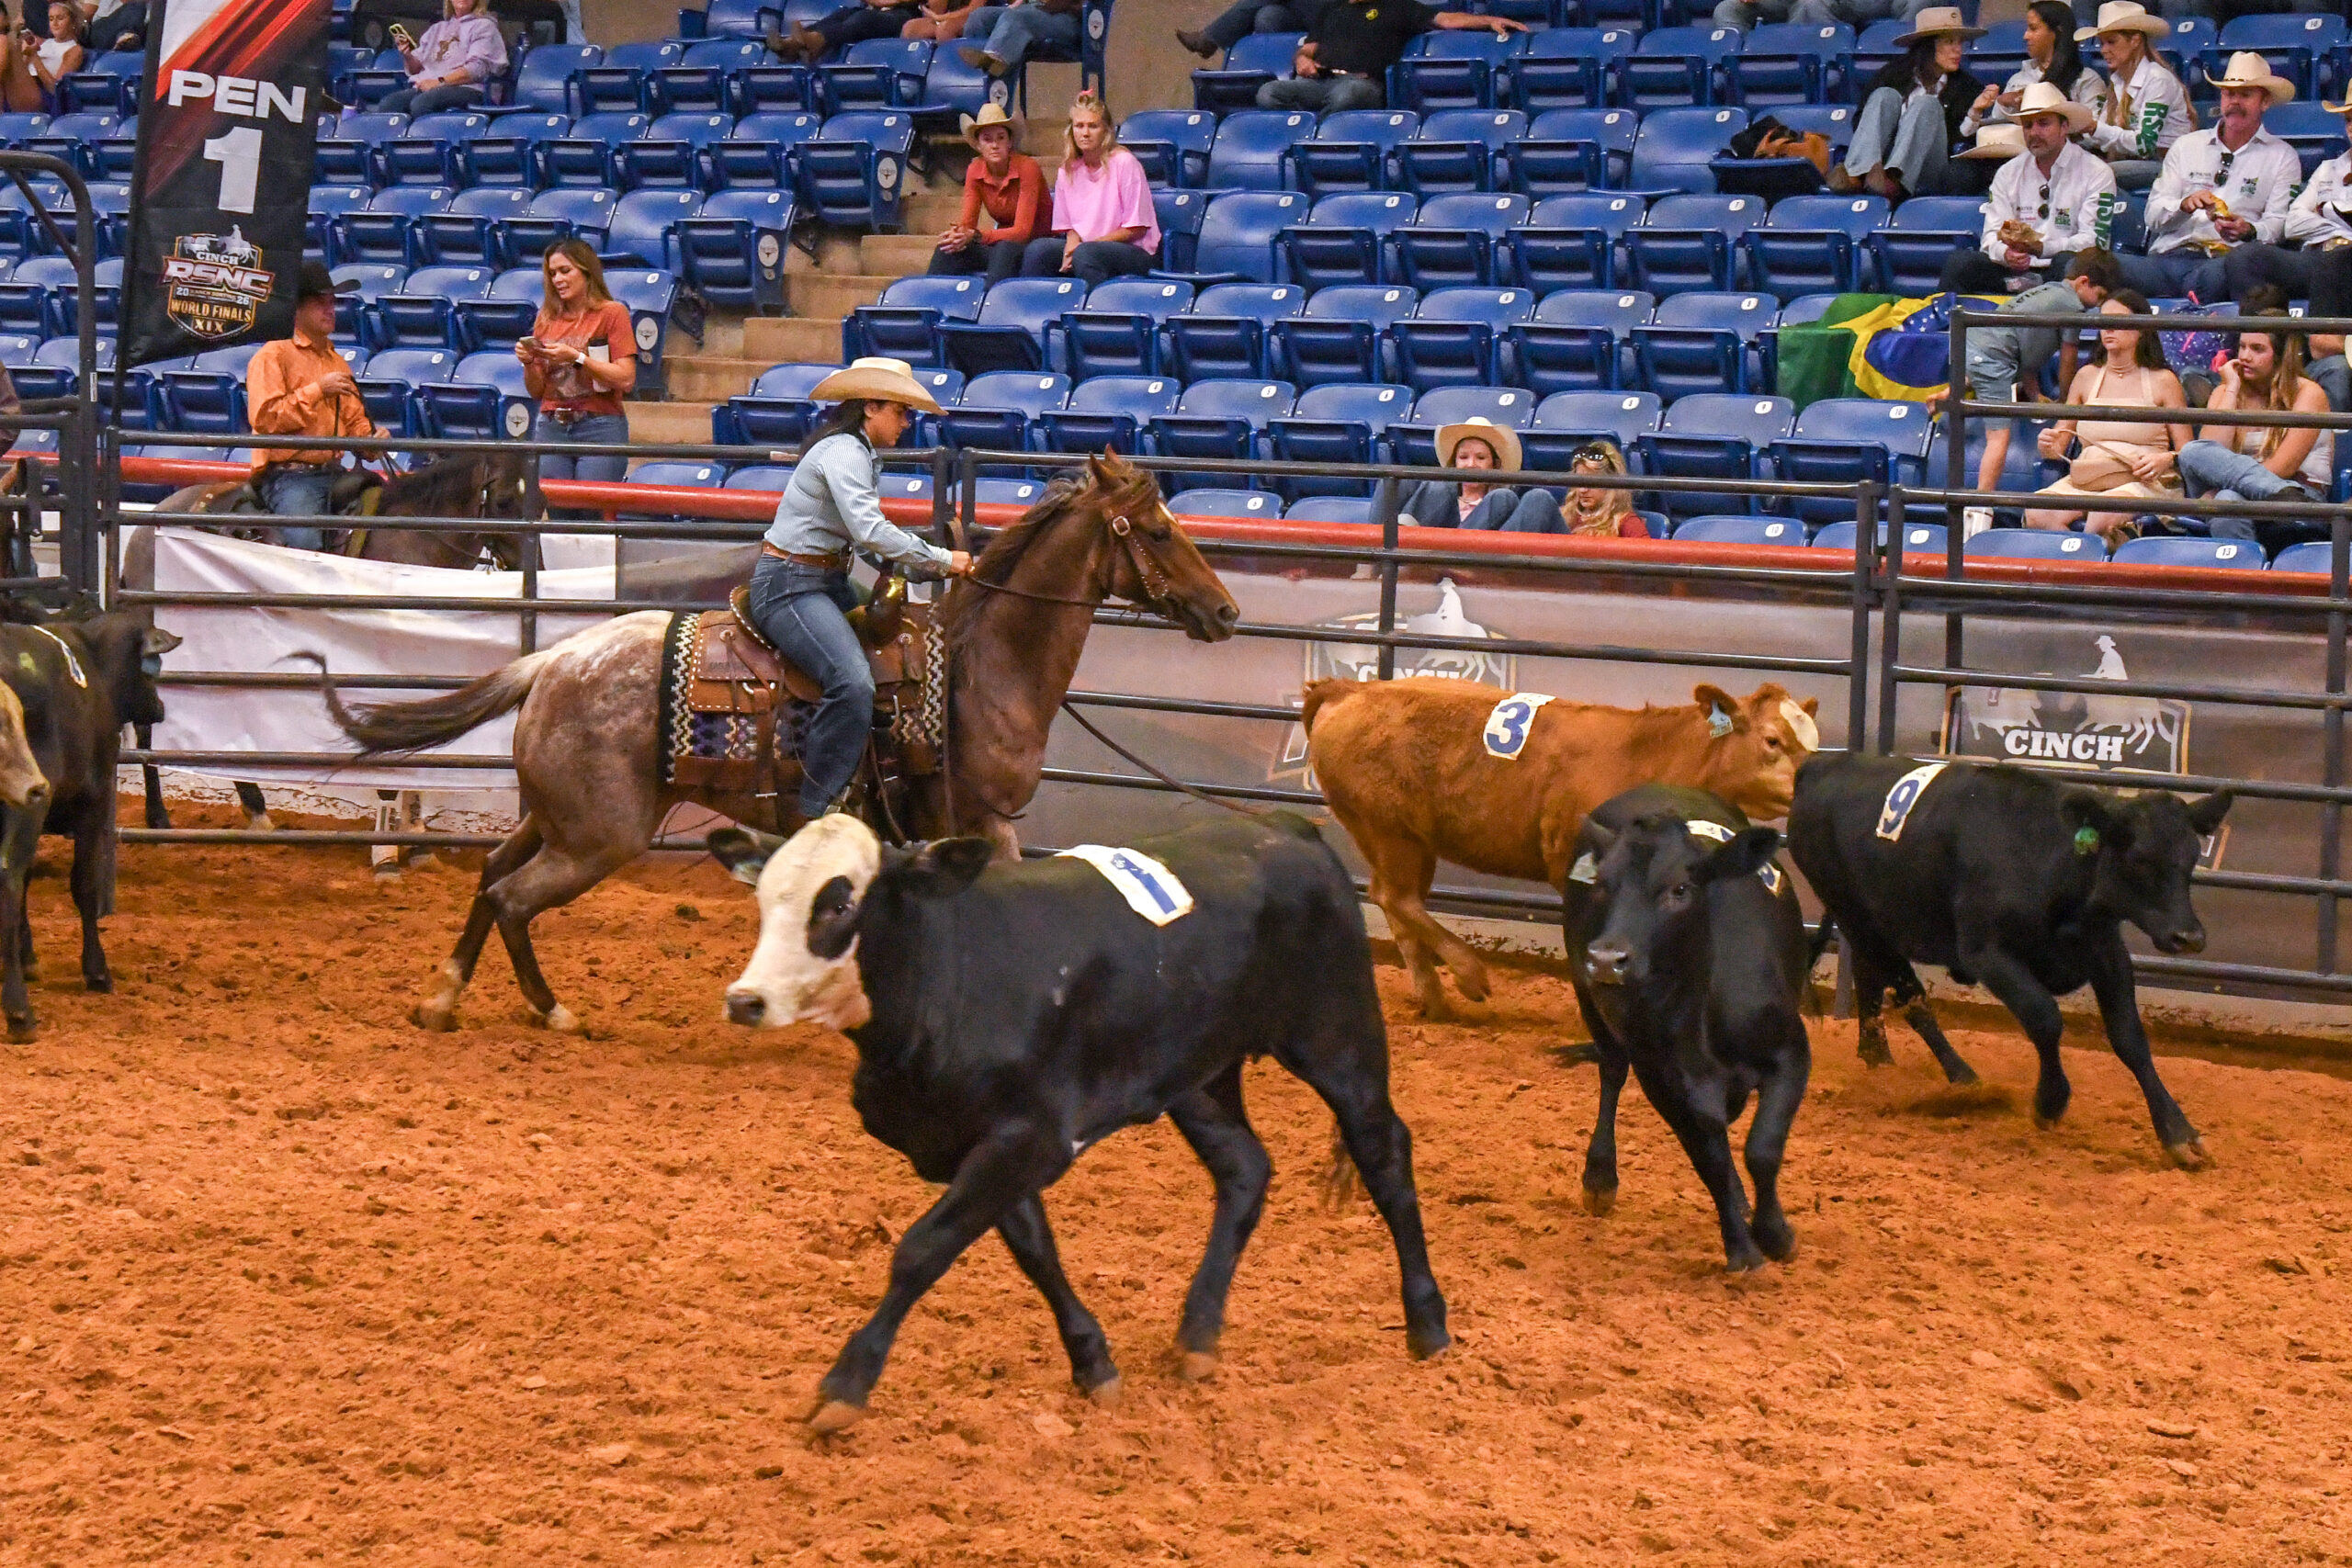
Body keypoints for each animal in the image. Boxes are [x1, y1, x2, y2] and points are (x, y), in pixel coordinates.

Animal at [0, 612, 181, 1040]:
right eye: (150, 668)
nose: (160, 707)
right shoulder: (90, 804)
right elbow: (83, 885)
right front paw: (96, 970)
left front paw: (29, 957)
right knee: (8, 879)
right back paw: (19, 1012)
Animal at [710, 811, 1451, 1433]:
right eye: (764, 899)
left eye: (839, 903)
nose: (747, 1000)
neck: (946, 976)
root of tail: (1287, 827)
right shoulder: (985, 1142)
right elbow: (1036, 1252)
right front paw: (1094, 1363)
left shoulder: (1028, 1136)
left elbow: (921, 1251)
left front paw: (845, 1385)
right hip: (1198, 1076)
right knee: (1246, 1167)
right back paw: (1198, 1335)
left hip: (1338, 1036)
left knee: (1384, 1152)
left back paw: (1428, 1324)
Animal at [1303, 677, 1821, 1022]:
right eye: (1773, 740)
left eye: (1813, 744)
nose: (1813, 784)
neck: (1652, 757)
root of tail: (1347, 690)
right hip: (1389, 830)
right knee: (1395, 897)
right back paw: (1469, 975)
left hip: (1398, 836)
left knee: (1393, 899)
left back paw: (1435, 998)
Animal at [1563, 785, 1811, 1272]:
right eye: (1602, 884)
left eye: (1680, 889)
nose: (1606, 959)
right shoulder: (1663, 1083)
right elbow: (1708, 1160)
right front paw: (1742, 1249)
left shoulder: (1791, 1053)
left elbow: (1762, 1148)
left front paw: (1775, 1235)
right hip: (1592, 1006)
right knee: (1611, 1073)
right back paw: (1600, 1178)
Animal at [1787, 754, 2232, 1169]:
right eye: (2139, 858)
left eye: (2192, 857)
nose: (2189, 937)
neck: (2048, 862)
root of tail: (1820, 764)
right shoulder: (1988, 955)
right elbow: (2045, 1019)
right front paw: (2050, 1101)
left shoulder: (2108, 954)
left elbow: (2130, 1039)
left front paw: (2178, 1132)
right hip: (1856, 914)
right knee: (1913, 999)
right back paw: (1962, 1078)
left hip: (1869, 926)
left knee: (1869, 978)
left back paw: (1880, 1060)